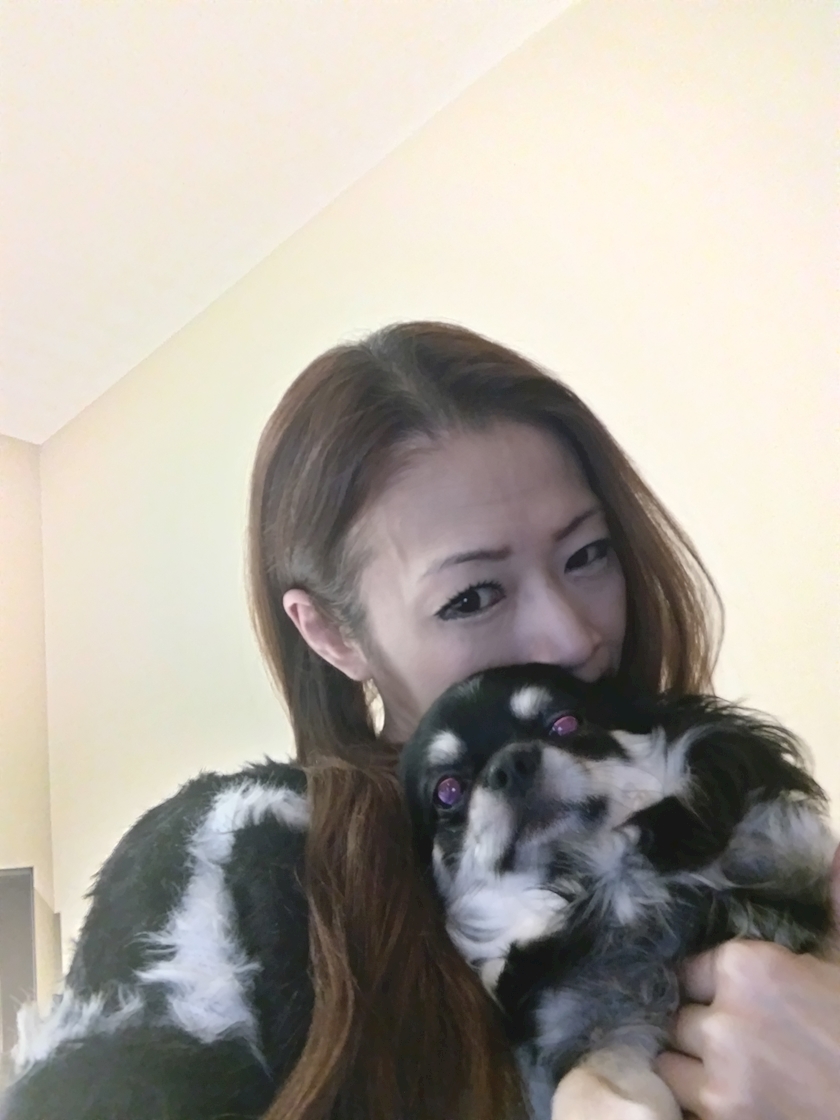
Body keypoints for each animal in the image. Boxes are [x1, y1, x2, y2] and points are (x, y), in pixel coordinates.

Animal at [398, 663, 835, 1120]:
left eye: (565, 724)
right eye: (448, 791)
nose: (510, 763)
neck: (599, 881)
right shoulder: (600, 1023)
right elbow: (583, 1082)